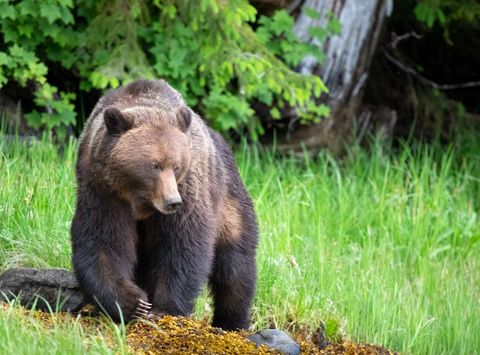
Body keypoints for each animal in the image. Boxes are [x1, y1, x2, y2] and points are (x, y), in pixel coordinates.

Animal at [70, 80, 258, 330]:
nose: (172, 202)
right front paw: (133, 302)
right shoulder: (103, 191)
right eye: (154, 165)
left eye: (176, 166)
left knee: (235, 264)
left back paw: (232, 321)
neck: (140, 200)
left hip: (229, 199)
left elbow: (182, 244)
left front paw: (164, 308)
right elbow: (102, 241)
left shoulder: (188, 190)